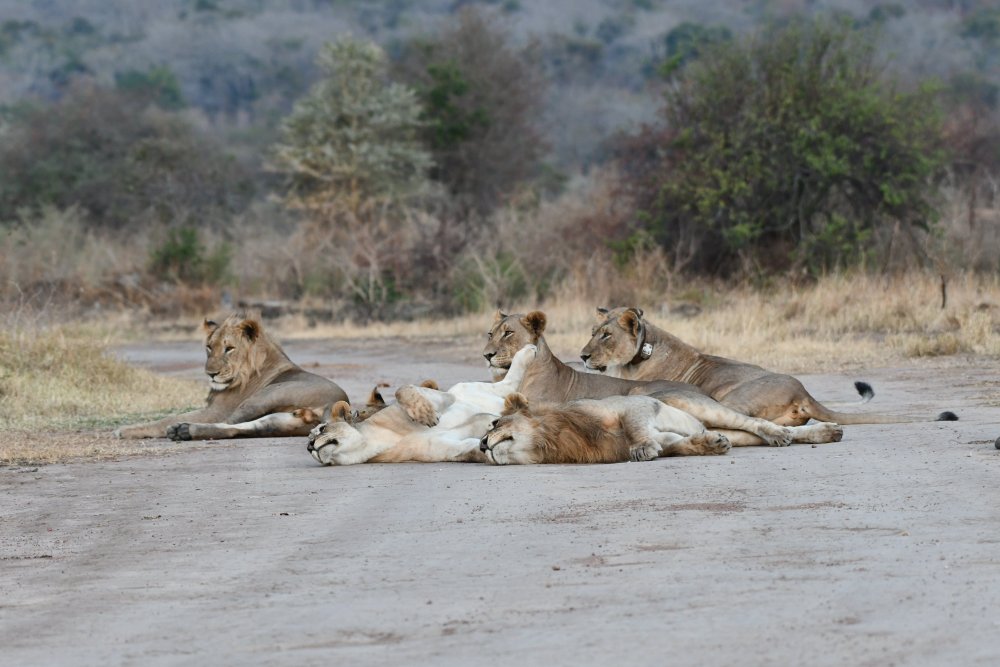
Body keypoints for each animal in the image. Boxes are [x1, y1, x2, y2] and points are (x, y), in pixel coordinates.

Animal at [116, 311, 348, 440]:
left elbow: (165, 418)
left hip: (261, 398)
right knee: (235, 429)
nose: (211, 374)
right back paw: (184, 432)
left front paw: (125, 430)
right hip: (280, 421)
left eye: (229, 349)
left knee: (227, 423)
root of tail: (335, 405)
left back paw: (181, 429)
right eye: (209, 347)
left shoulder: (217, 410)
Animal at [307, 344, 537, 465]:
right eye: (307, 439)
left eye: (321, 428)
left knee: (508, 381)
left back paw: (529, 350)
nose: (309, 446)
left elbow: (404, 390)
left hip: (464, 389)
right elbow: (472, 447)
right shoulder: (445, 449)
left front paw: (425, 415)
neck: (373, 440)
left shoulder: (439, 397)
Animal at [480, 393, 732, 464]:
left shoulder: (635, 403)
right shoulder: (666, 439)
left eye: (495, 423)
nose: (482, 445)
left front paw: (642, 448)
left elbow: (633, 427)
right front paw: (712, 443)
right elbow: (679, 445)